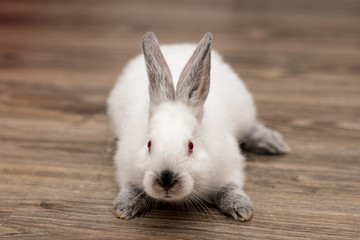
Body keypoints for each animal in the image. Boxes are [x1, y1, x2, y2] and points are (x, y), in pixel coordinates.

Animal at [106, 32, 286, 221]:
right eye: (149, 144)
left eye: (191, 146)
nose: (166, 180)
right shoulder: (125, 168)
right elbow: (130, 187)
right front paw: (125, 206)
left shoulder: (229, 167)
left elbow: (230, 187)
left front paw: (241, 208)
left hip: (245, 114)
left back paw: (271, 142)